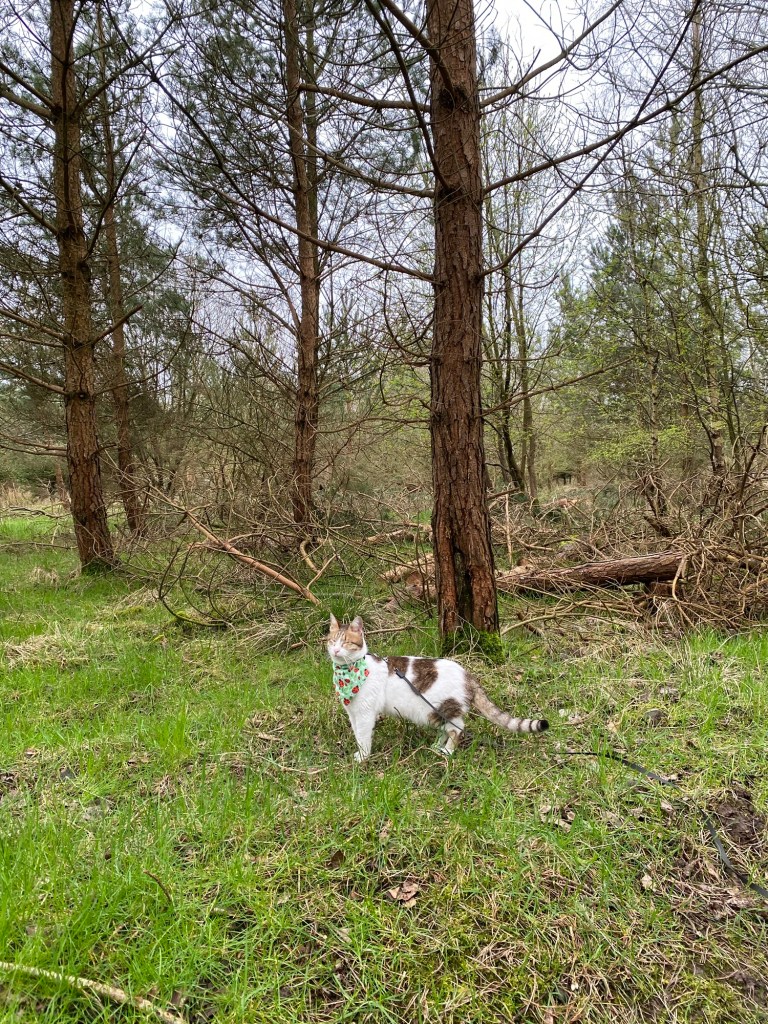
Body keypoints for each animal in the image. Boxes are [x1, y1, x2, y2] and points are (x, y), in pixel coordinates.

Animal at [327, 614, 548, 762]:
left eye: (346, 642)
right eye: (331, 641)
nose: (336, 650)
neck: (349, 672)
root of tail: (468, 675)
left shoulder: (365, 713)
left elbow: (363, 736)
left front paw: (363, 757)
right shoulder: (353, 713)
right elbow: (357, 734)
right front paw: (359, 752)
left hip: (441, 708)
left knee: (457, 729)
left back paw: (447, 752)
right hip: (434, 713)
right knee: (446, 729)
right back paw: (436, 746)